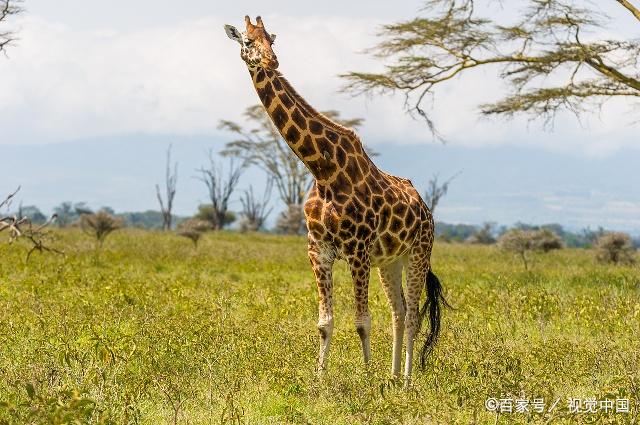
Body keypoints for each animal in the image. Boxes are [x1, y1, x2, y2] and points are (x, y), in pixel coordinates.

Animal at [225, 15, 450, 384]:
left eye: (272, 39)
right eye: (247, 41)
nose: (272, 62)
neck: (322, 170)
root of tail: (426, 208)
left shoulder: (357, 251)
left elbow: (361, 321)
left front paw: (368, 380)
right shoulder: (319, 251)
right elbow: (324, 323)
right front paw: (320, 379)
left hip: (419, 252)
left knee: (413, 316)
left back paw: (405, 381)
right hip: (390, 261)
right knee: (399, 311)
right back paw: (393, 377)